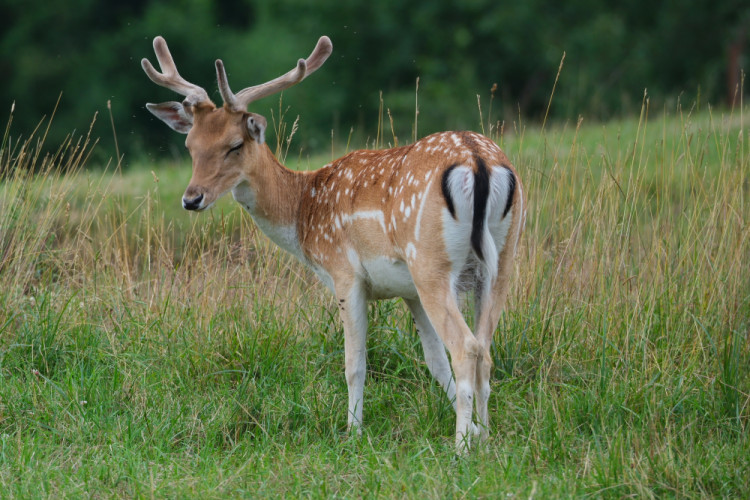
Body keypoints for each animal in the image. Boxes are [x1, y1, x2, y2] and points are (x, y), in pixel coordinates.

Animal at [142, 33, 528, 452]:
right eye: (190, 146)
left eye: (234, 145)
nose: (191, 199)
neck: (304, 213)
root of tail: (478, 162)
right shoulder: (407, 290)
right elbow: (434, 361)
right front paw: (471, 427)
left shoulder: (345, 272)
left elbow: (355, 363)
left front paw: (353, 433)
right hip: (500, 261)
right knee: (484, 348)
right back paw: (486, 438)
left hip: (431, 263)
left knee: (466, 347)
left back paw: (459, 449)